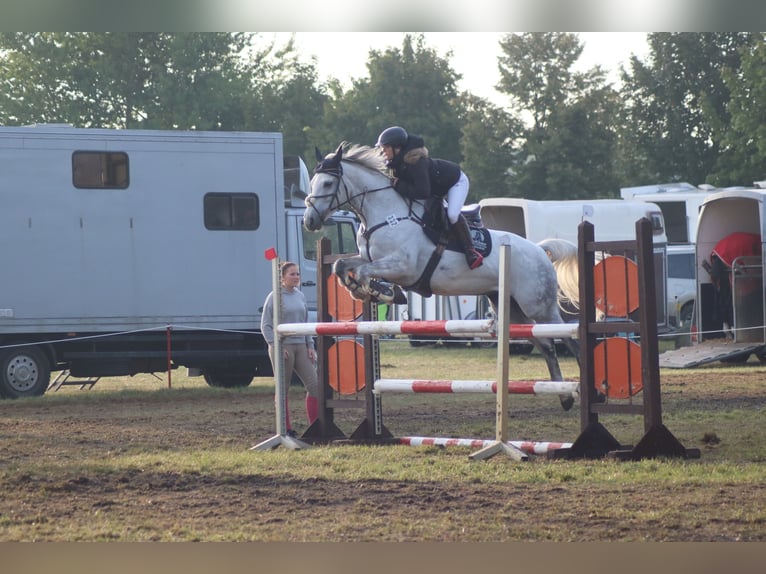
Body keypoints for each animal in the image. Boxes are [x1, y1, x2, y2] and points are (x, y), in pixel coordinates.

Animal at [306, 145, 584, 414]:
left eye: (328, 184)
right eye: (313, 182)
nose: (309, 221)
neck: (385, 215)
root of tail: (539, 250)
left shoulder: (404, 266)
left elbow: (366, 272)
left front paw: (377, 291)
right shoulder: (370, 258)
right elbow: (343, 265)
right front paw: (357, 288)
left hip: (538, 306)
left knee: (569, 340)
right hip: (514, 311)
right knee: (546, 345)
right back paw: (564, 397)